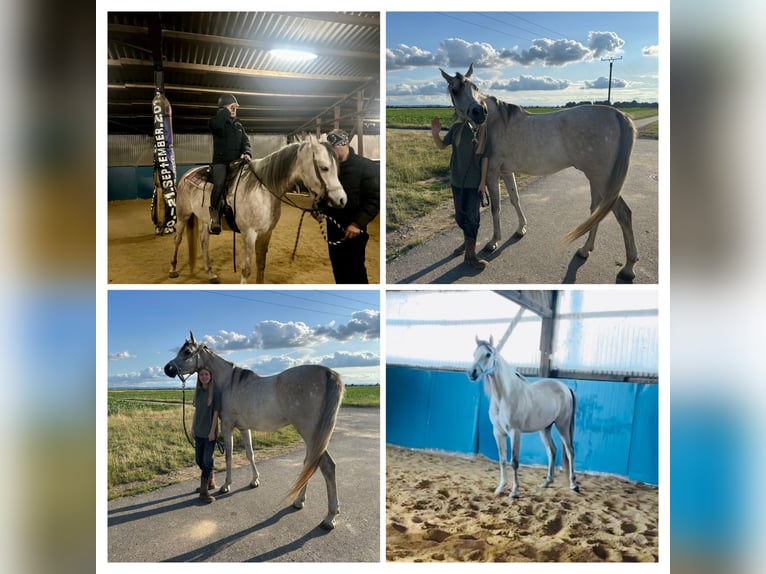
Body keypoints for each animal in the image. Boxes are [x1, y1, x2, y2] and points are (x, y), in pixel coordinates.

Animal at [163, 331, 345, 530]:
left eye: (187, 351)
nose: (167, 369)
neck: (229, 383)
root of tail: (329, 373)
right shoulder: (244, 429)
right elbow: (250, 454)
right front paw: (254, 481)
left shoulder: (227, 427)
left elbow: (229, 456)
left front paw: (226, 485)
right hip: (312, 437)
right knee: (310, 463)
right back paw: (299, 501)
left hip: (310, 433)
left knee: (326, 466)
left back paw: (329, 517)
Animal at [168, 137, 347, 284]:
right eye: (324, 168)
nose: (342, 199)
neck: (263, 189)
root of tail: (186, 175)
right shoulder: (249, 234)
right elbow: (246, 269)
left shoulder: (266, 233)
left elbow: (261, 265)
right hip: (182, 215)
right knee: (177, 239)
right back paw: (173, 269)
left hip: (207, 221)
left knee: (204, 241)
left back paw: (211, 274)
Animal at [440, 64, 638, 280]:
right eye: (455, 90)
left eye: (475, 87)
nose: (479, 112)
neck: (495, 122)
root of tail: (620, 116)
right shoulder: (506, 172)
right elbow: (514, 199)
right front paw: (520, 229)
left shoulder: (492, 173)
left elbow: (495, 207)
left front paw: (493, 241)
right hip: (596, 180)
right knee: (597, 211)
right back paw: (585, 249)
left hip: (603, 180)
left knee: (623, 214)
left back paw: (628, 268)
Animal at [467, 335, 579, 499]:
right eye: (474, 353)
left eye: (488, 354)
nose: (472, 373)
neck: (504, 396)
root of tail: (566, 388)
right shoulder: (498, 433)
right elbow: (502, 460)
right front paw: (500, 488)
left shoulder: (515, 432)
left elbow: (514, 461)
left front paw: (514, 492)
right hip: (545, 428)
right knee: (552, 450)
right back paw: (547, 482)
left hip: (562, 426)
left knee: (570, 451)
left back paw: (573, 485)